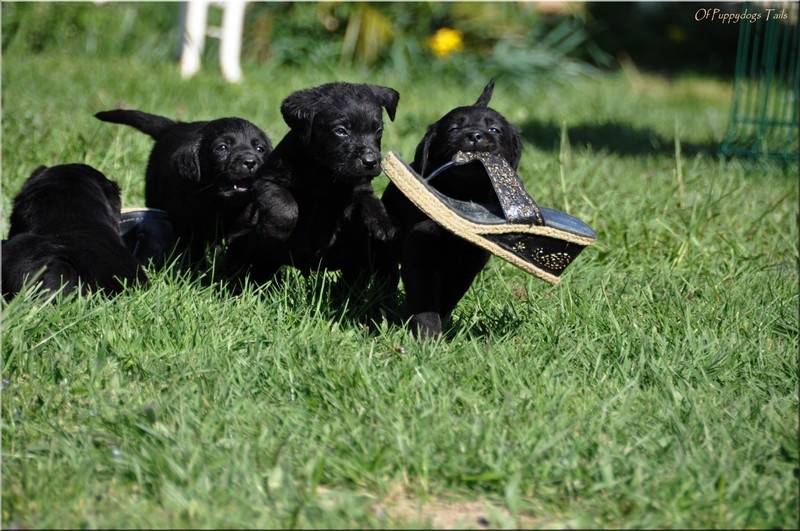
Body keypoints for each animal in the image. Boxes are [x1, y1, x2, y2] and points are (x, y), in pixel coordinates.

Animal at [94, 109, 272, 266]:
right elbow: (193, 253)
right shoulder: (187, 226)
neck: (219, 203)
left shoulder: (245, 225)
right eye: (222, 147)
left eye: (260, 149)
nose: (250, 162)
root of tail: (172, 126)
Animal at [236, 82, 404, 286]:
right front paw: (272, 232)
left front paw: (384, 223)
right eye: (341, 131)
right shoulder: (267, 181)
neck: (325, 174)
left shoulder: (360, 191)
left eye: (378, 130)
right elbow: (285, 207)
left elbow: (371, 202)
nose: (371, 162)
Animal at [382, 80, 524, 336]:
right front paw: (427, 335)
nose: (474, 135)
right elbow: (425, 297)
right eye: (453, 129)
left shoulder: (469, 264)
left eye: (495, 130)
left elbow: (448, 296)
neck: (462, 196)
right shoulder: (420, 254)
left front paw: (441, 325)